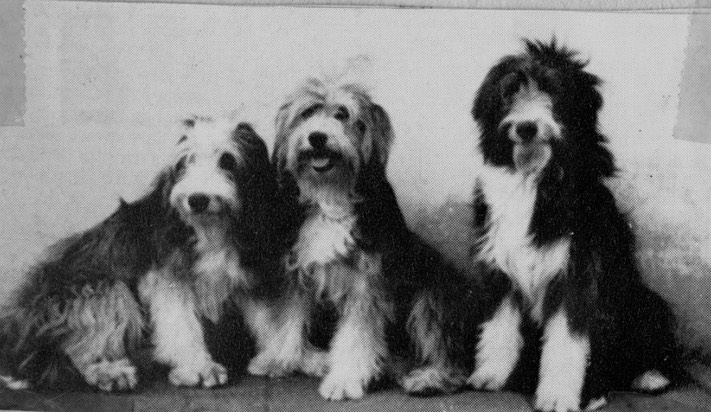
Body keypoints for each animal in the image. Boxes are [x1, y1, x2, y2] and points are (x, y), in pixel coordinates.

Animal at [0, 116, 284, 392]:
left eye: (227, 160)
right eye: (185, 161)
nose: (197, 199)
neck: (210, 229)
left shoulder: (248, 274)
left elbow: (267, 320)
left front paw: (279, 358)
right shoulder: (167, 277)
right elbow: (183, 324)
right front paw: (198, 367)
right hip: (98, 289)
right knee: (76, 347)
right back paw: (108, 370)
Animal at [245, 79, 472, 400]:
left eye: (342, 114)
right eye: (307, 113)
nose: (317, 137)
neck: (330, 195)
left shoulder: (366, 284)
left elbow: (357, 335)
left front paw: (344, 379)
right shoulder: (296, 270)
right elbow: (288, 318)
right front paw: (279, 359)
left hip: (433, 290)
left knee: (452, 357)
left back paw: (429, 378)